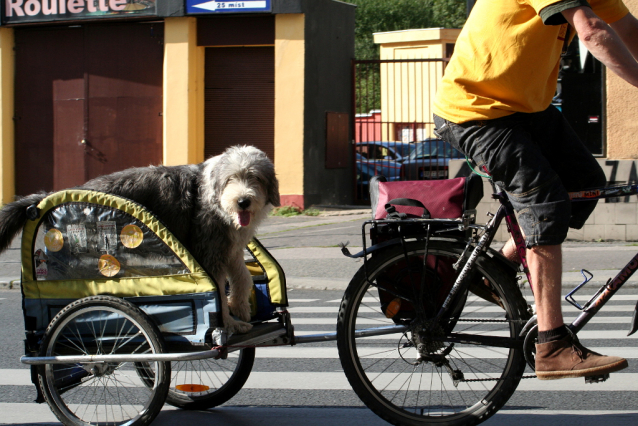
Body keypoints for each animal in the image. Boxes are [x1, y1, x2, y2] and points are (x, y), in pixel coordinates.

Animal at [0, 145, 280, 334]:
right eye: (231, 178)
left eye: (254, 177)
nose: (242, 201)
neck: (215, 196)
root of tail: (49, 198)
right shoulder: (208, 251)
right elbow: (217, 291)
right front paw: (230, 322)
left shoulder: (229, 248)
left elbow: (242, 277)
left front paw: (240, 308)